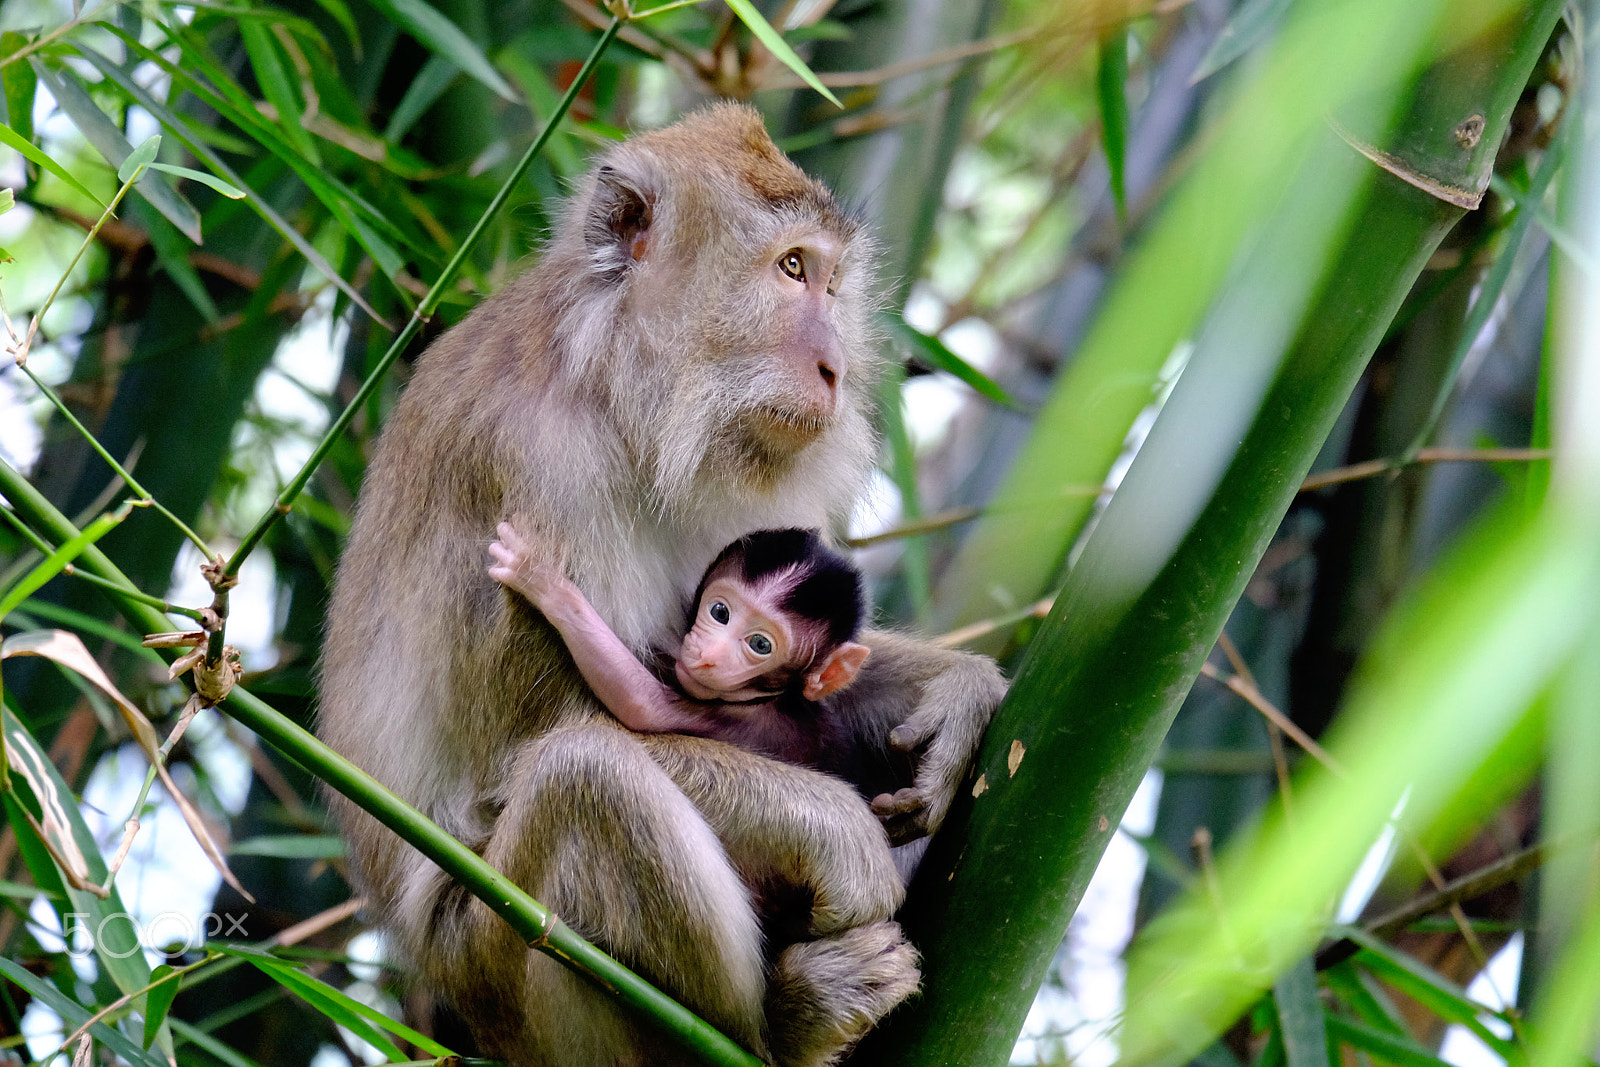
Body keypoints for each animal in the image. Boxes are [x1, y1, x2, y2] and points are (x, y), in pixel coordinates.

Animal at [486, 518, 870, 764]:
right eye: (720, 612)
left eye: (760, 645)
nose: (709, 653)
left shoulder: (749, 723)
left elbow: (642, 704)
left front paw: (542, 579)